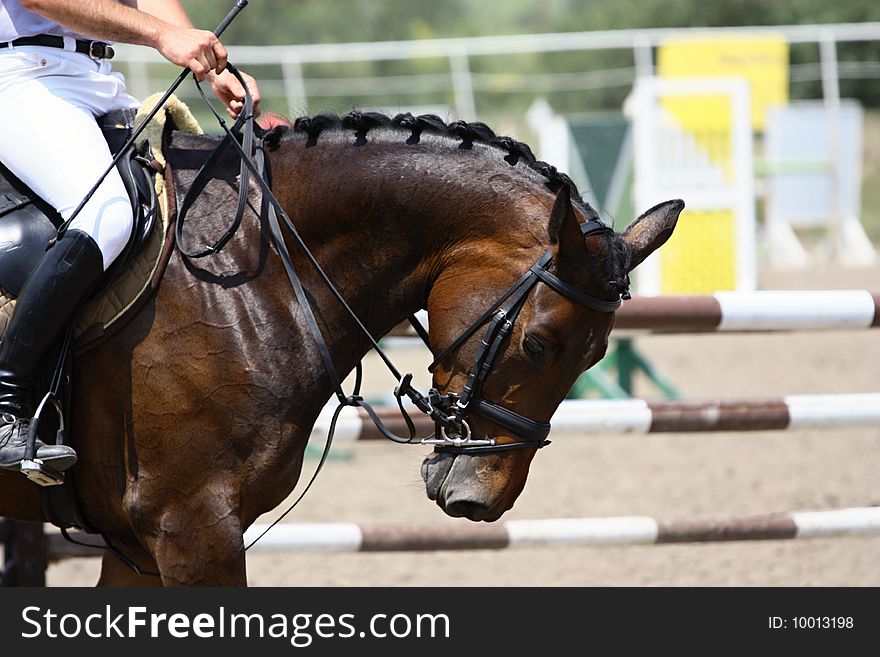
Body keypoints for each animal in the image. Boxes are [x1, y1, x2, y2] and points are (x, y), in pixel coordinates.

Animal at [0, 109, 680, 584]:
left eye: (593, 358)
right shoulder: (191, 525)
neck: (251, 270)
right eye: (538, 344)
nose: (483, 497)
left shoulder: (137, 543)